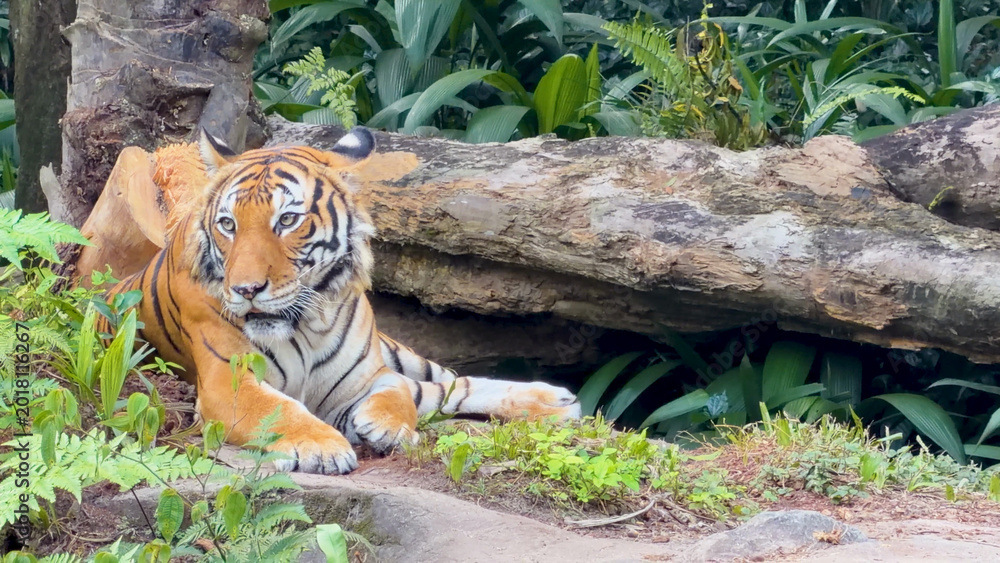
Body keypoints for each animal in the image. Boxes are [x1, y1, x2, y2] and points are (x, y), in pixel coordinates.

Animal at [104, 126, 581, 474]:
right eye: (227, 224)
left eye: (287, 220)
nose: (245, 290)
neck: (306, 325)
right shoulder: (228, 382)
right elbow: (279, 409)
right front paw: (324, 448)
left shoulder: (367, 373)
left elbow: (398, 390)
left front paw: (385, 426)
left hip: (397, 350)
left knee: (446, 382)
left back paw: (554, 400)